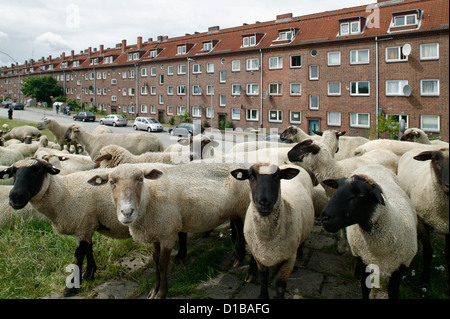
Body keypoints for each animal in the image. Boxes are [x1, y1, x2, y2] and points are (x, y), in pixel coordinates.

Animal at [0, 159, 132, 298]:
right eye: (13, 173)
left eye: (38, 170)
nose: (15, 197)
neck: (63, 193)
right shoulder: (86, 224)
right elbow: (88, 249)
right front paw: (89, 274)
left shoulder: (83, 226)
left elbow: (78, 256)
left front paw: (72, 287)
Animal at [86, 162, 251, 300]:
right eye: (111, 182)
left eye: (140, 179)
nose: (127, 212)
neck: (149, 198)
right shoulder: (155, 232)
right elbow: (155, 259)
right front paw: (154, 290)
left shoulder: (168, 233)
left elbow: (162, 263)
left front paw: (161, 293)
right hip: (236, 210)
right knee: (239, 230)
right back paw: (239, 257)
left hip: (243, 209)